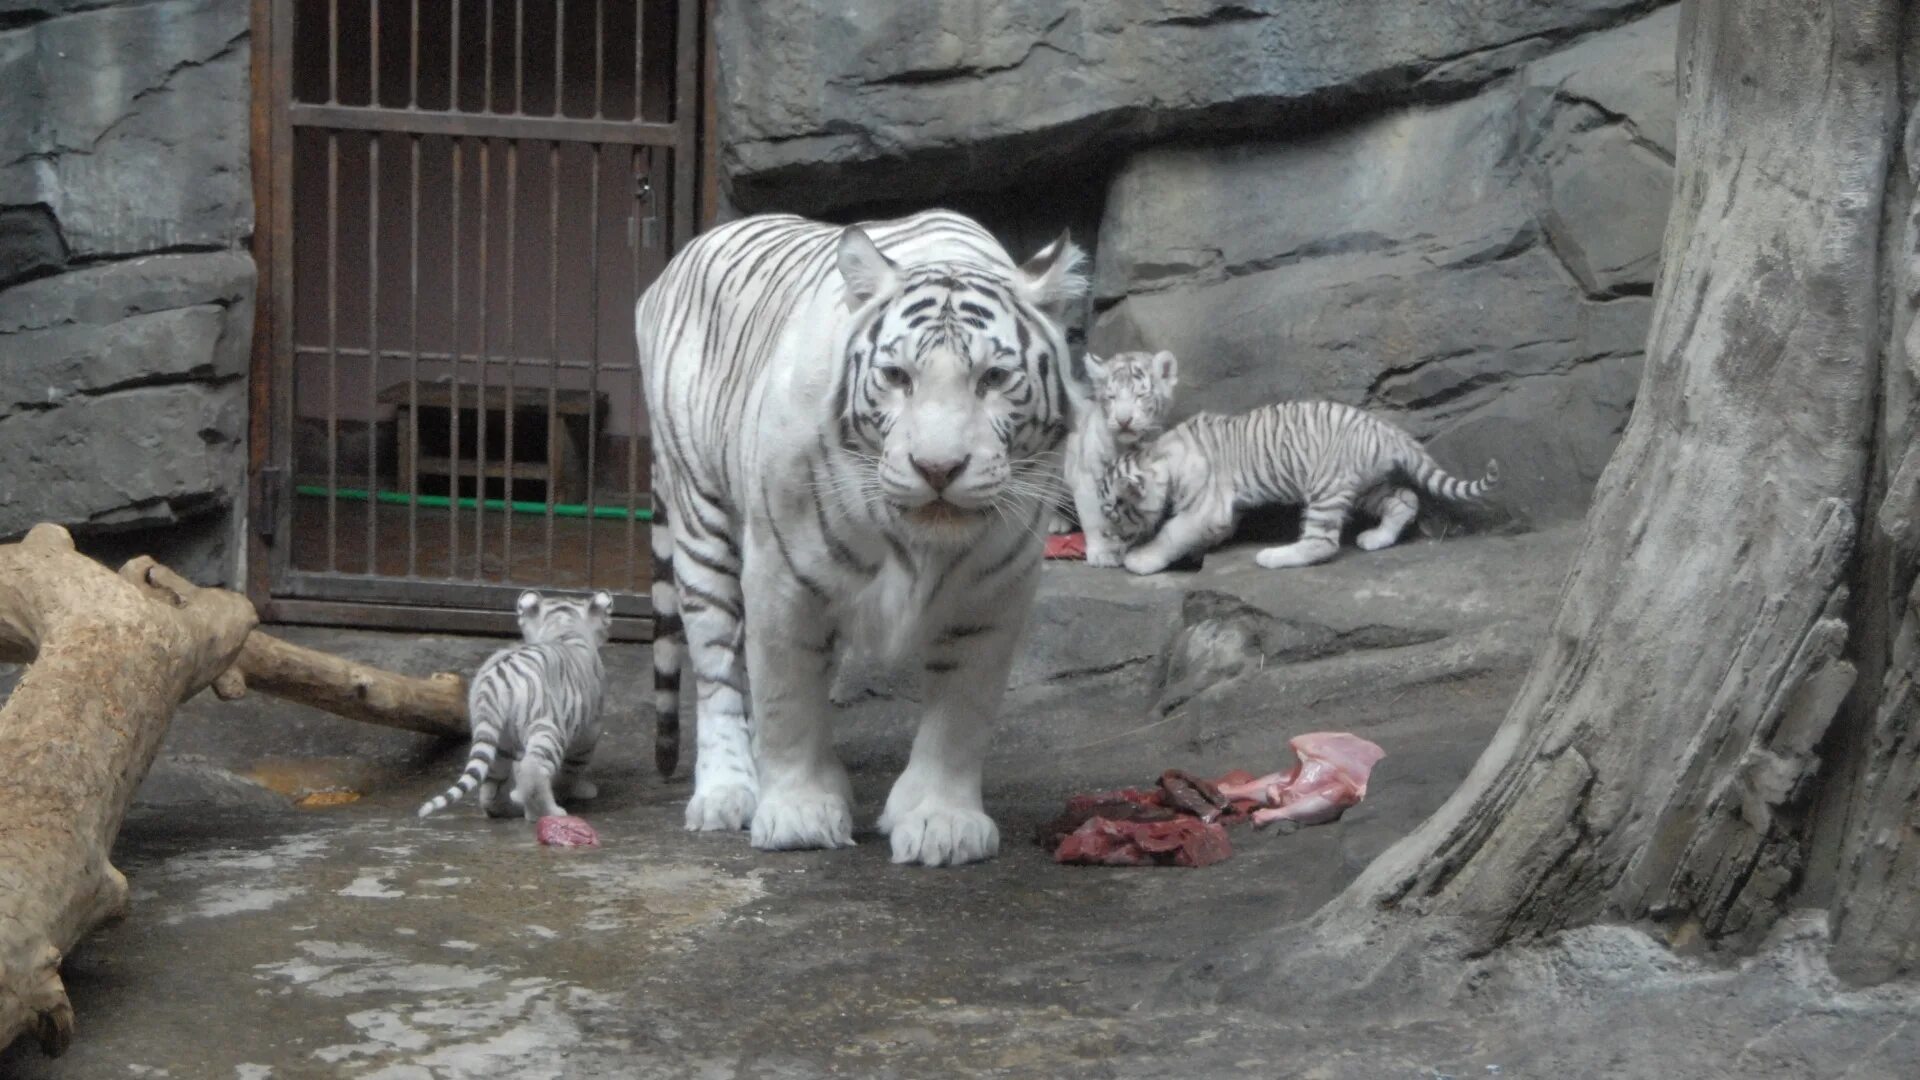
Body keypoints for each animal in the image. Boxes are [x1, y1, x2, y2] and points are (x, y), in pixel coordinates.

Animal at [418, 588, 606, 814]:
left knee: (492, 781)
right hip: (546, 726)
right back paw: (550, 812)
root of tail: (496, 679)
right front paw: (581, 791)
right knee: (532, 768)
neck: (562, 625)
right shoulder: (590, 729)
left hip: (496, 736)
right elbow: (572, 768)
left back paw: (504, 807)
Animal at [637, 210, 1090, 864]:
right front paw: (797, 814)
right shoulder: (781, 577)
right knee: (717, 665)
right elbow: (786, 697)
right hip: (699, 515)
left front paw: (942, 821)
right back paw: (728, 793)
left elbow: (962, 712)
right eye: (897, 376)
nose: (937, 468)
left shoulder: (994, 592)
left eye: (995, 378)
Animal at [1052, 349, 1182, 564]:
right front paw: (1101, 553)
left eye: (1140, 395)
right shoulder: (1087, 477)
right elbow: (1094, 518)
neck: (1129, 445)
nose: (1123, 421)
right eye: (1111, 397)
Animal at [1098, 399, 1497, 576]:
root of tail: (1387, 431)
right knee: (1404, 498)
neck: (1156, 456)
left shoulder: (1206, 508)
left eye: (1114, 511)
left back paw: (1274, 556)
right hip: (1364, 484)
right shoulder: (1222, 514)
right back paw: (1377, 539)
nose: (1107, 536)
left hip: (1326, 485)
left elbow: (1172, 532)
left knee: (1322, 543)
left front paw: (1140, 559)